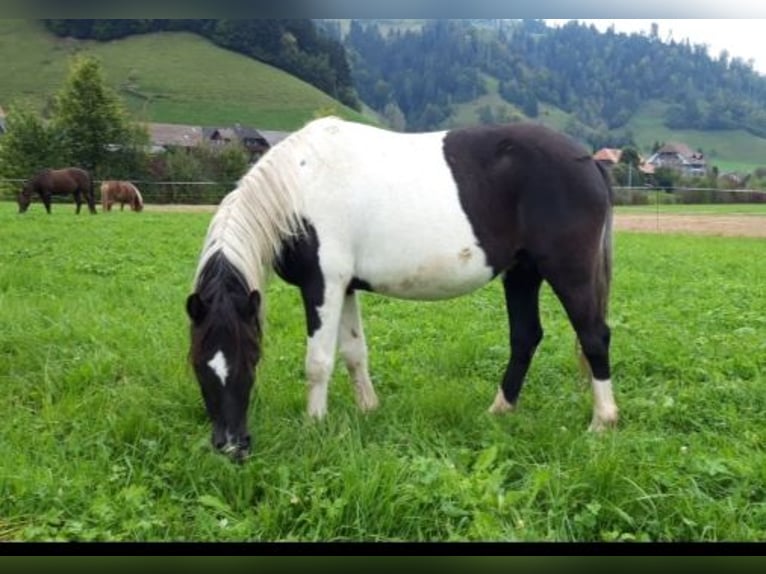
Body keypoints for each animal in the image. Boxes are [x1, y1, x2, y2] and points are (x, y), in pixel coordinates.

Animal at [186, 118, 616, 464]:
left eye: (250, 360)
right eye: (198, 366)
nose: (231, 447)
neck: (298, 188)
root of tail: (587, 160)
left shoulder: (323, 284)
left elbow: (318, 362)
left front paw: (314, 425)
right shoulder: (345, 287)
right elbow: (354, 352)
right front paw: (368, 409)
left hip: (567, 270)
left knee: (594, 335)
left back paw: (602, 422)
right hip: (522, 272)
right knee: (526, 337)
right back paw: (499, 410)